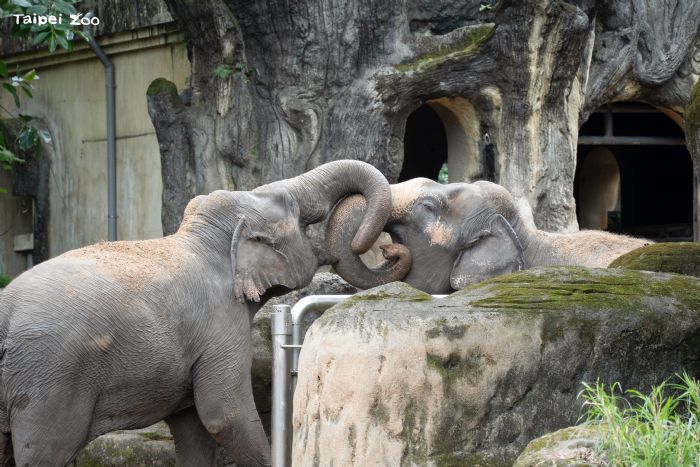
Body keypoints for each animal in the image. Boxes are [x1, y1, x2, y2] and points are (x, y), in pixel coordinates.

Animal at [0, 160, 403, 467]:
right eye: (295, 209)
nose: (391, 250)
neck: (204, 238)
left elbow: (192, 426)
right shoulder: (221, 324)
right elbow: (224, 415)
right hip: (51, 381)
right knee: (47, 452)